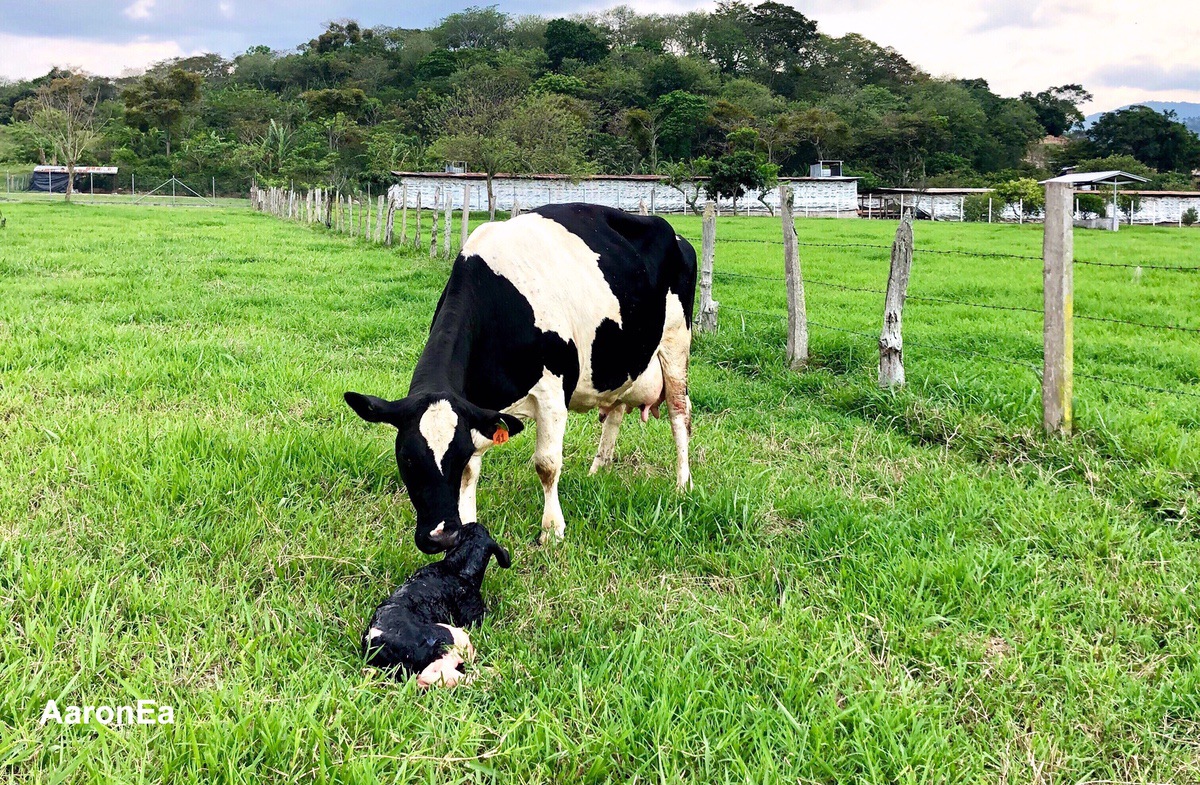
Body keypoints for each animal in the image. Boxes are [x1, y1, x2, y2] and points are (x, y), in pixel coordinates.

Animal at [343, 206, 700, 556]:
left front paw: (552, 532)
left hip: (676, 341)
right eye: (406, 457)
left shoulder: (553, 393)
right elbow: (473, 472)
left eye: (455, 456)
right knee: (615, 413)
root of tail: (677, 236)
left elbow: (547, 464)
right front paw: (468, 528)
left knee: (679, 413)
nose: (441, 537)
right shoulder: (476, 407)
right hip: (621, 365)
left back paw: (683, 485)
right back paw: (597, 472)